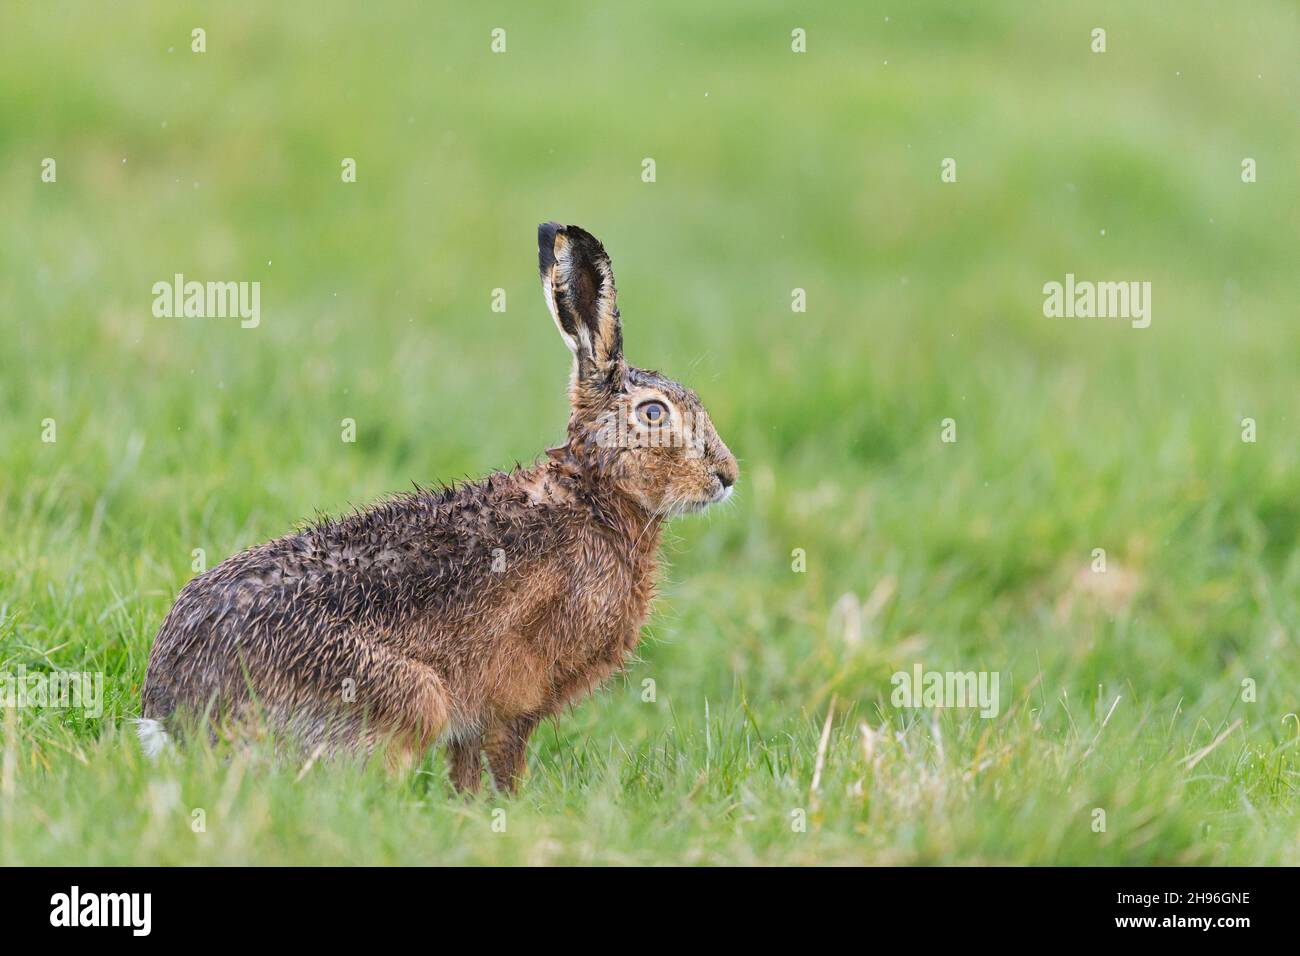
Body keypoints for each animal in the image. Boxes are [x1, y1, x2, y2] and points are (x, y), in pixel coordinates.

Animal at [139, 222, 738, 793]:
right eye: (654, 414)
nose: (727, 476)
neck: (592, 496)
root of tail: (174, 715)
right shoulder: (511, 704)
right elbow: (503, 764)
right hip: (410, 696)